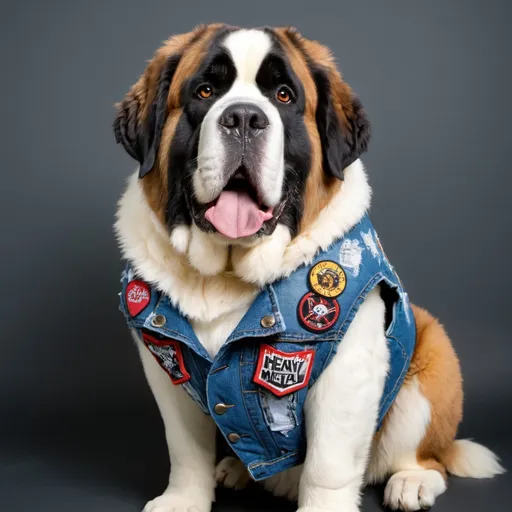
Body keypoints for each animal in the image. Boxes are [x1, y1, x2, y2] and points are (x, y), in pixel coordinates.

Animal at [113, 23, 504, 512]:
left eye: (283, 95)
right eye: (205, 92)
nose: (244, 118)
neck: (227, 274)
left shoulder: (347, 369)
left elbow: (328, 463)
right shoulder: (169, 365)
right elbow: (186, 447)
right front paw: (183, 499)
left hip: (431, 363)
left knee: (422, 454)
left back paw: (411, 481)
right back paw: (239, 470)